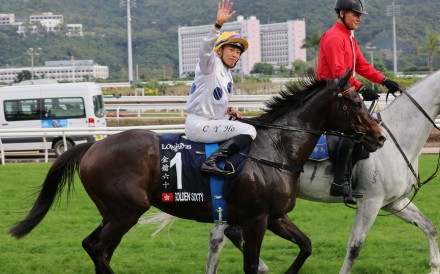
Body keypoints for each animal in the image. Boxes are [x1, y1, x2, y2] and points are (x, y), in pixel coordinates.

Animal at [8, 69, 384, 274]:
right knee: (100, 250)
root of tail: (92, 146)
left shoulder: (275, 216)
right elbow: (251, 263)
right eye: (355, 103)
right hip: (126, 212)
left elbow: (305, 246)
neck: (275, 149)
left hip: (112, 213)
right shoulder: (256, 218)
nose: (379, 137)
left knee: (93, 246)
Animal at [144, 70, 440, 272]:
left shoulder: (394, 202)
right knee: (219, 237)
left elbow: (429, 227)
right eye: (355, 104)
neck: (400, 136)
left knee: (223, 235)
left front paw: (434, 267)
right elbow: (355, 246)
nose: (378, 139)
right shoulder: (371, 201)